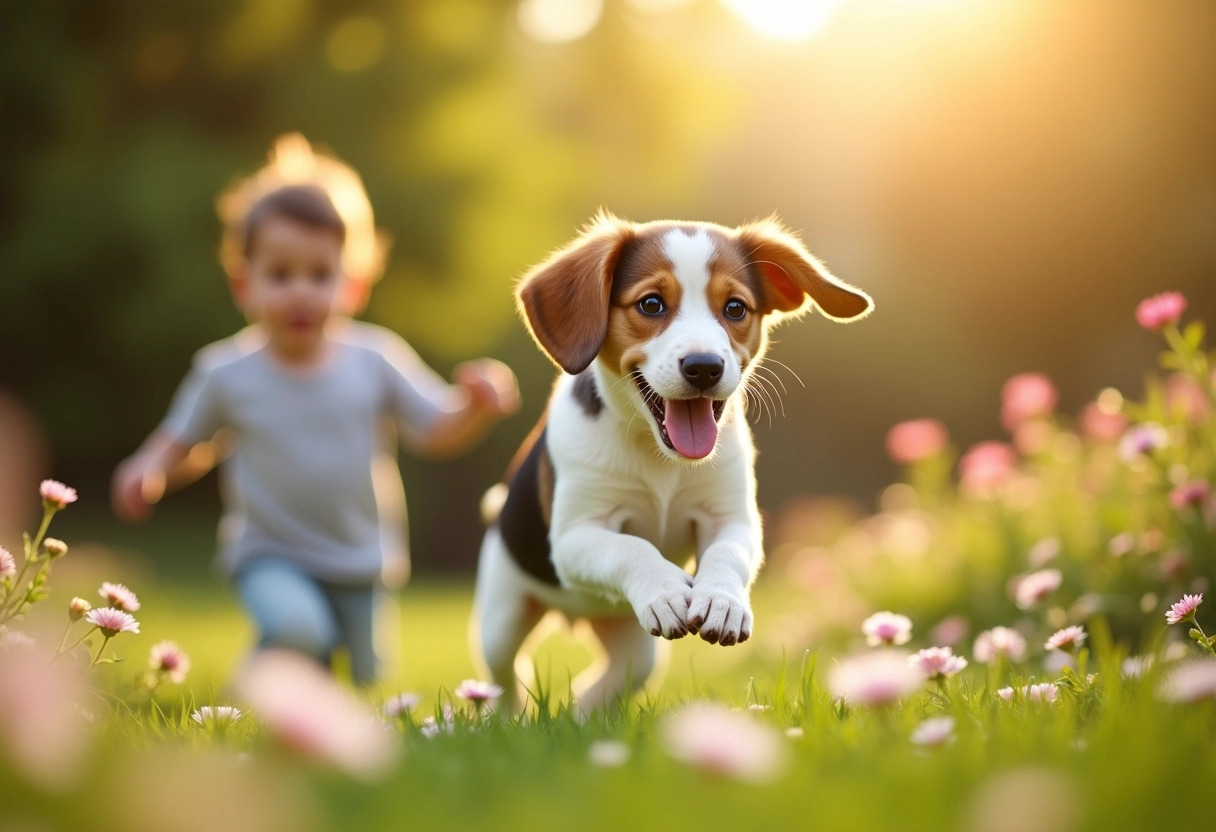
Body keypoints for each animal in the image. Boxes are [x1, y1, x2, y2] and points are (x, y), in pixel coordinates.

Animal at [469, 211, 870, 710]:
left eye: (735, 309)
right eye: (652, 304)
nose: (704, 367)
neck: (659, 456)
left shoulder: (731, 518)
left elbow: (725, 554)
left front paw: (722, 600)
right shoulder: (574, 536)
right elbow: (631, 547)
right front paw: (664, 588)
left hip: (631, 640)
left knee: (609, 683)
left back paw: (579, 713)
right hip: (502, 615)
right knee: (506, 675)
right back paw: (506, 714)